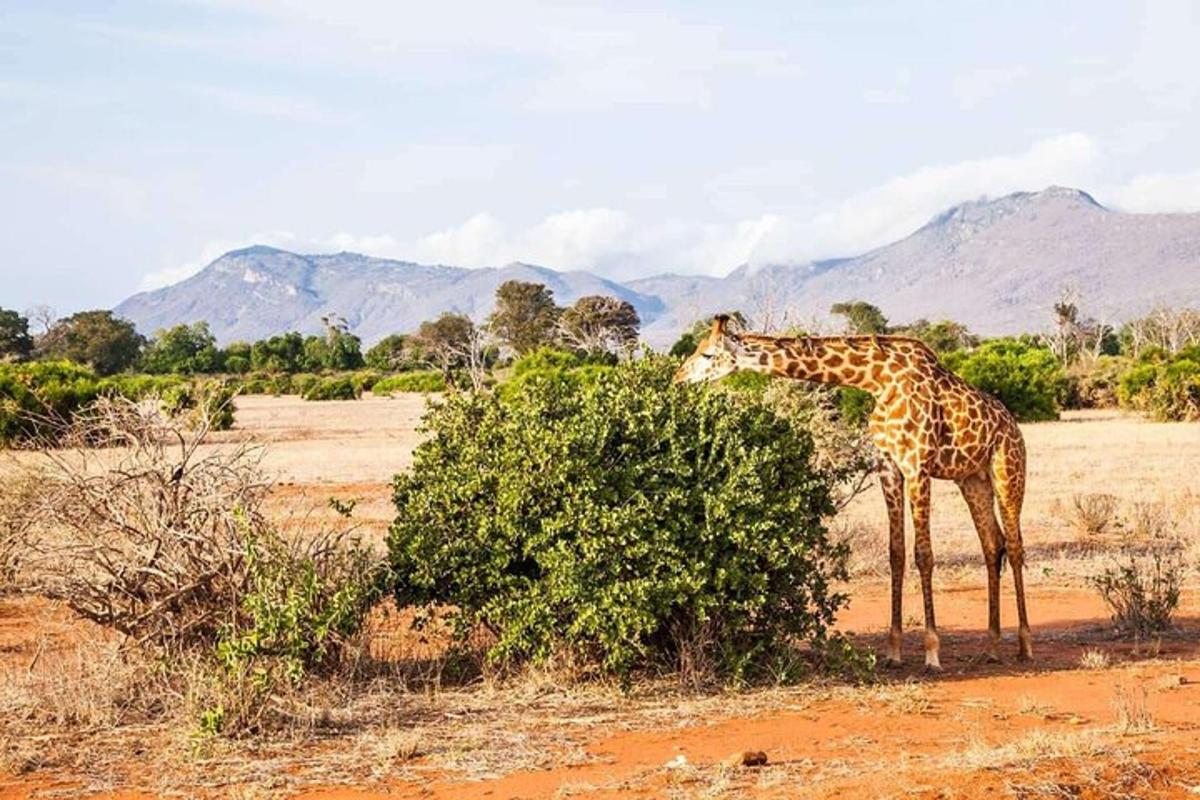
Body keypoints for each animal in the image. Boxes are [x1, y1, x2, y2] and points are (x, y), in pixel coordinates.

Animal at [676, 316, 1032, 671]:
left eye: (708, 354)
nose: (678, 379)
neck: (876, 379)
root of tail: (1013, 424)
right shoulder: (889, 466)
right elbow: (897, 553)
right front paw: (893, 650)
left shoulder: (917, 465)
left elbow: (924, 555)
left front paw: (932, 652)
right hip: (973, 480)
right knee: (992, 545)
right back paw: (992, 647)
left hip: (1008, 470)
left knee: (1015, 547)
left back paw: (1024, 646)